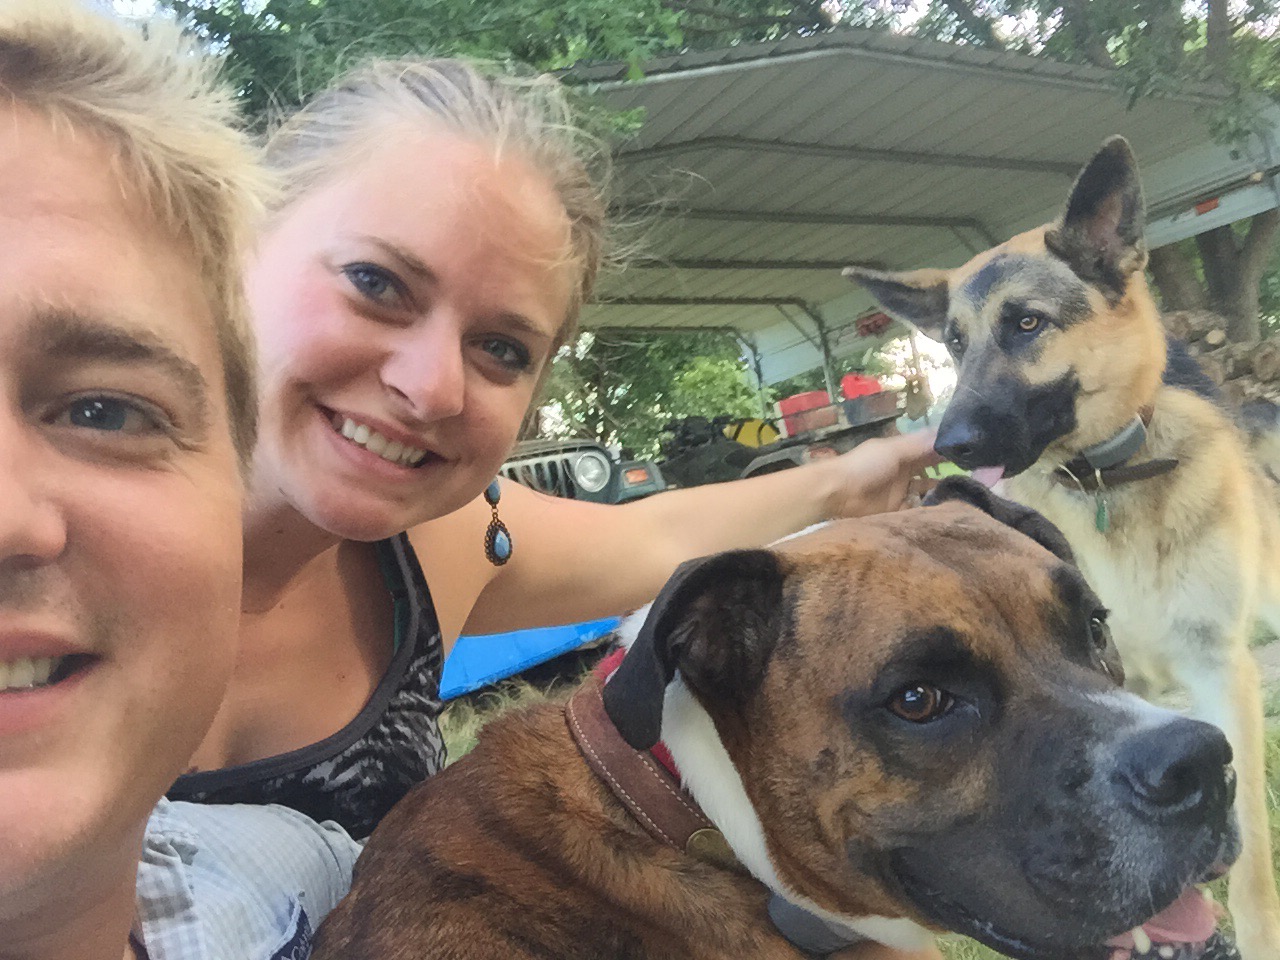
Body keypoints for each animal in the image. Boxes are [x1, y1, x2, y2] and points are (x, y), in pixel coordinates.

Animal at [847, 137, 1280, 960]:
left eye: (1026, 323)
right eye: (955, 343)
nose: (948, 446)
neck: (1107, 482)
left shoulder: (1217, 667)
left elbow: (1248, 864)